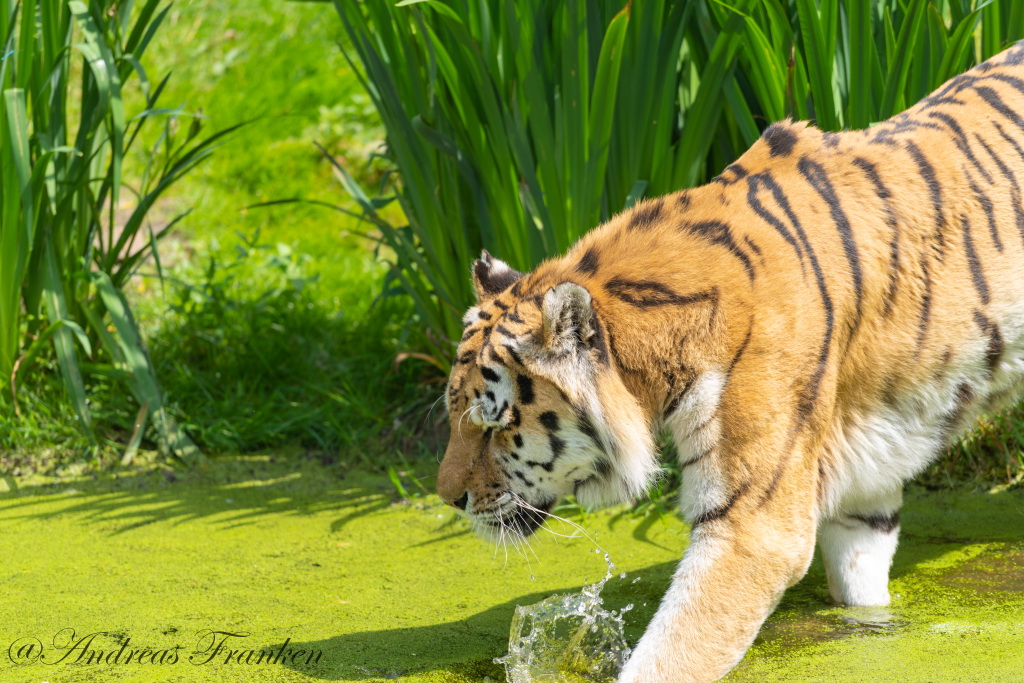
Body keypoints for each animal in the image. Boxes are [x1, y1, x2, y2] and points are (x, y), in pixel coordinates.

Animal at [436, 44, 1024, 683]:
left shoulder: (754, 523)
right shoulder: (864, 490)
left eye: (495, 426)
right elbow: (864, 588)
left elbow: (672, 651)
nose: (448, 500)